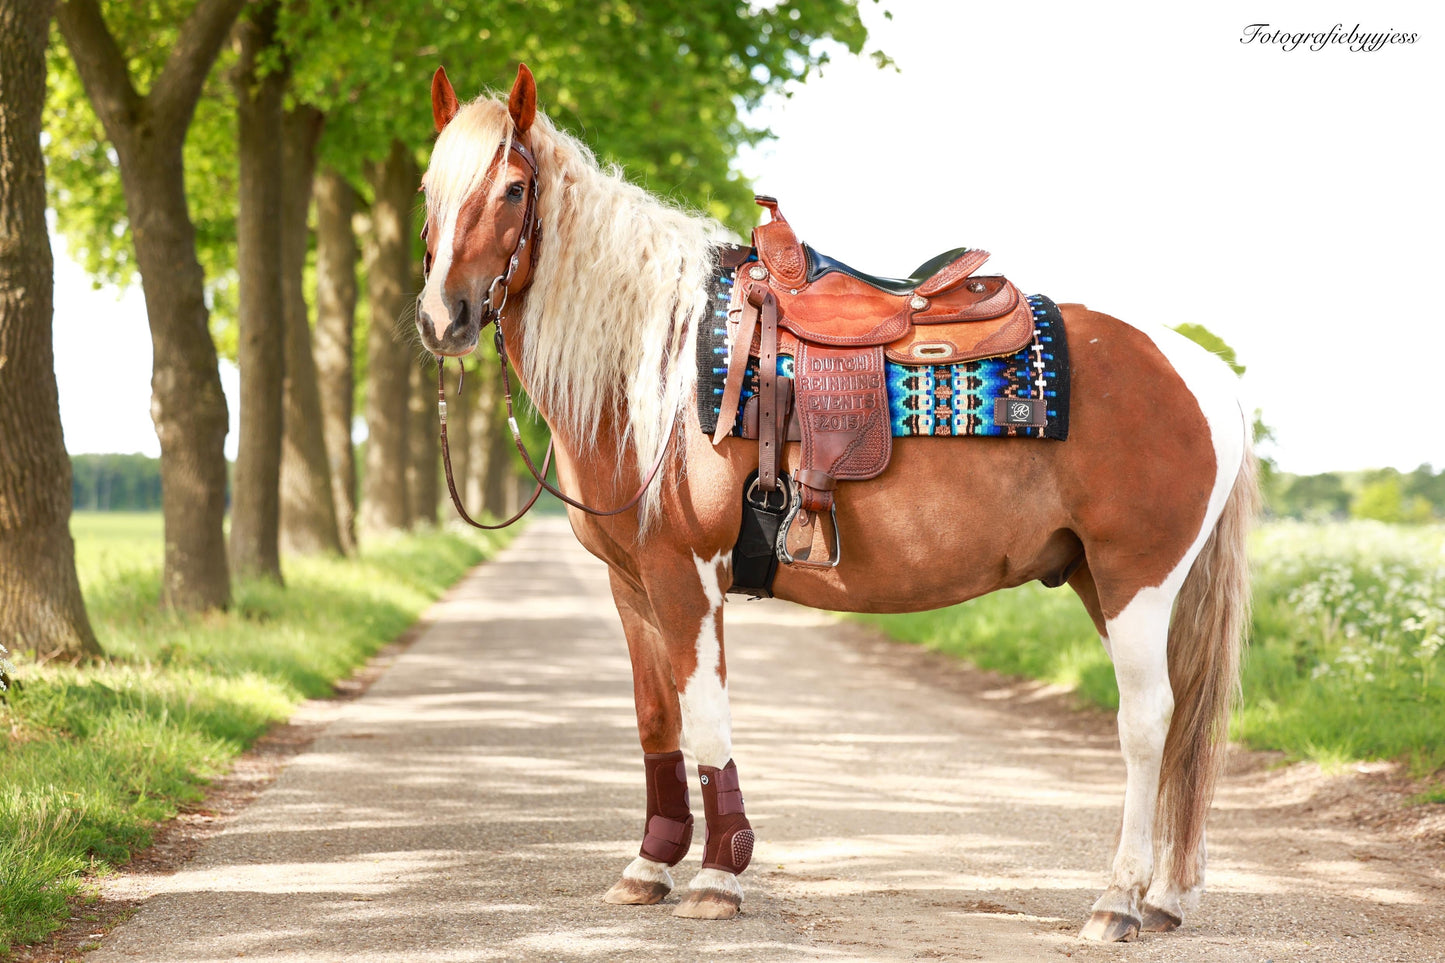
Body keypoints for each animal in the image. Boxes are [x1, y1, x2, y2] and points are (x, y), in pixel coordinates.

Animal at [414, 64, 1257, 941]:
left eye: (513, 189)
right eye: (426, 188)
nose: (443, 318)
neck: (661, 368)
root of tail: (1202, 371)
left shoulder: (687, 575)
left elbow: (705, 718)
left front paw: (718, 875)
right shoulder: (631, 582)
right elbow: (655, 720)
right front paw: (648, 865)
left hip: (1136, 580)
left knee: (1147, 722)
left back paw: (1116, 899)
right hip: (1101, 580)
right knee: (1179, 723)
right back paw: (1165, 895)